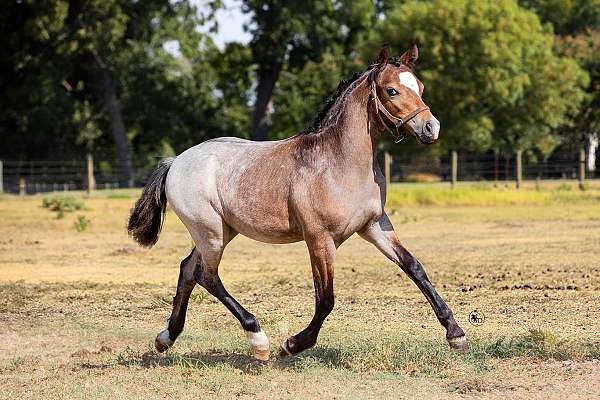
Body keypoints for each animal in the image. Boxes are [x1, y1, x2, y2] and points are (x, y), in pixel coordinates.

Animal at [127, 44, 468, 362]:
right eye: (392, 90)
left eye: (420, 86)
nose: (431, 128)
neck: (339, 162)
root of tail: (176, 162)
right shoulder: (319, 238)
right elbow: (326, 299)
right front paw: (292, 344)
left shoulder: (374, 226)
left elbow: (414, 267)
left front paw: (456, 334)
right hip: (210, 232)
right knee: (207, 276)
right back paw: (258, 340)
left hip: (221, 230)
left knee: (188, 269)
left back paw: (166, 338)